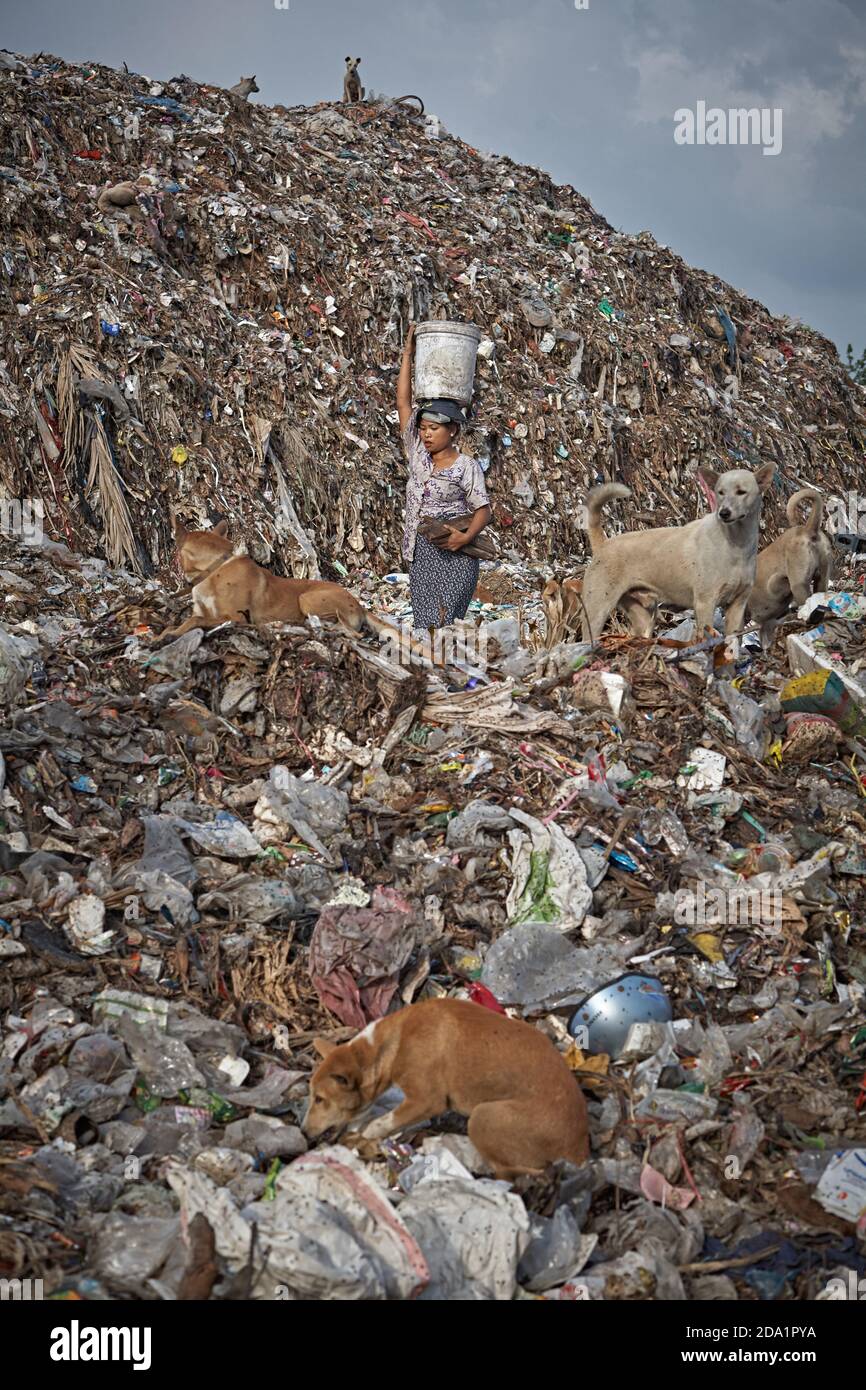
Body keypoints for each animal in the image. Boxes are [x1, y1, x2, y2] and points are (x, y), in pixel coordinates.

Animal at [161, 519, 391, 642]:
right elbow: (184, 621)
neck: (215, 567)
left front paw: (173, 634)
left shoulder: (236, 618)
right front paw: (165, 634)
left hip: (307, 599)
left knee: (350, 633)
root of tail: (359, 605)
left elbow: (194, 620)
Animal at [301, 1000, 592, 1184]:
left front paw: (367, 1132)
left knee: (512, 1173)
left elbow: (381, 1122)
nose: (302, 1132)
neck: (393, 1041)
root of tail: (580, 1151)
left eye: (320, 1099)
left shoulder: (426, 1101)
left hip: (482, 1117)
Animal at [578, 461, 778, 644]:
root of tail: (603, 544)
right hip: (597, 610)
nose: (724, 513)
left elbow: (734, 640)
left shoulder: (738, 604)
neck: (735, 544)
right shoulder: (705, 603)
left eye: (741, 492)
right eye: (720, 492)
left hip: (644, 616)